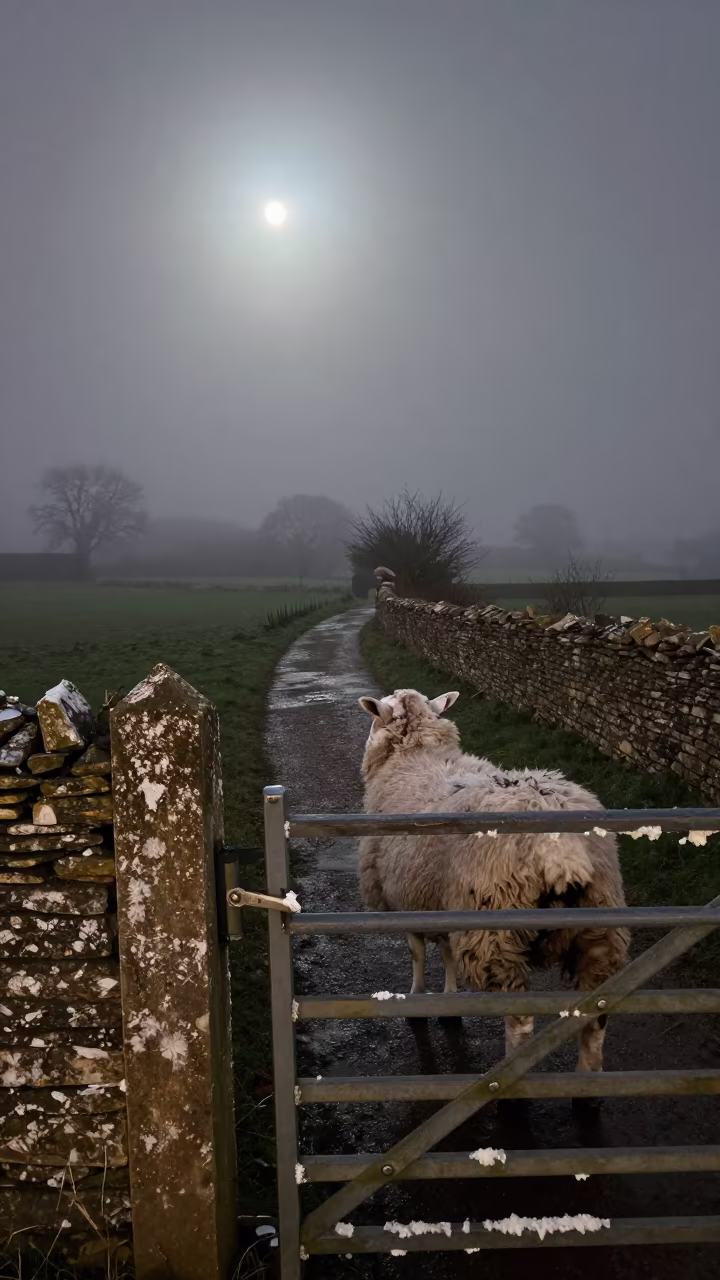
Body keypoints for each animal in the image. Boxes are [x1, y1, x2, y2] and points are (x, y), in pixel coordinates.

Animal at [358, 688, 629, 1073]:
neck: (414, 756)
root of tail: (559, 849)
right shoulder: (442, 897)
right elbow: (446, 951)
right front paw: (449, 1003)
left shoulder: (404, 897)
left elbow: (418, 952)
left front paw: (417, 1001)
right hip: (601, 927)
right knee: (595, 1021)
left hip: (495, 931)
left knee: (520, 1021)